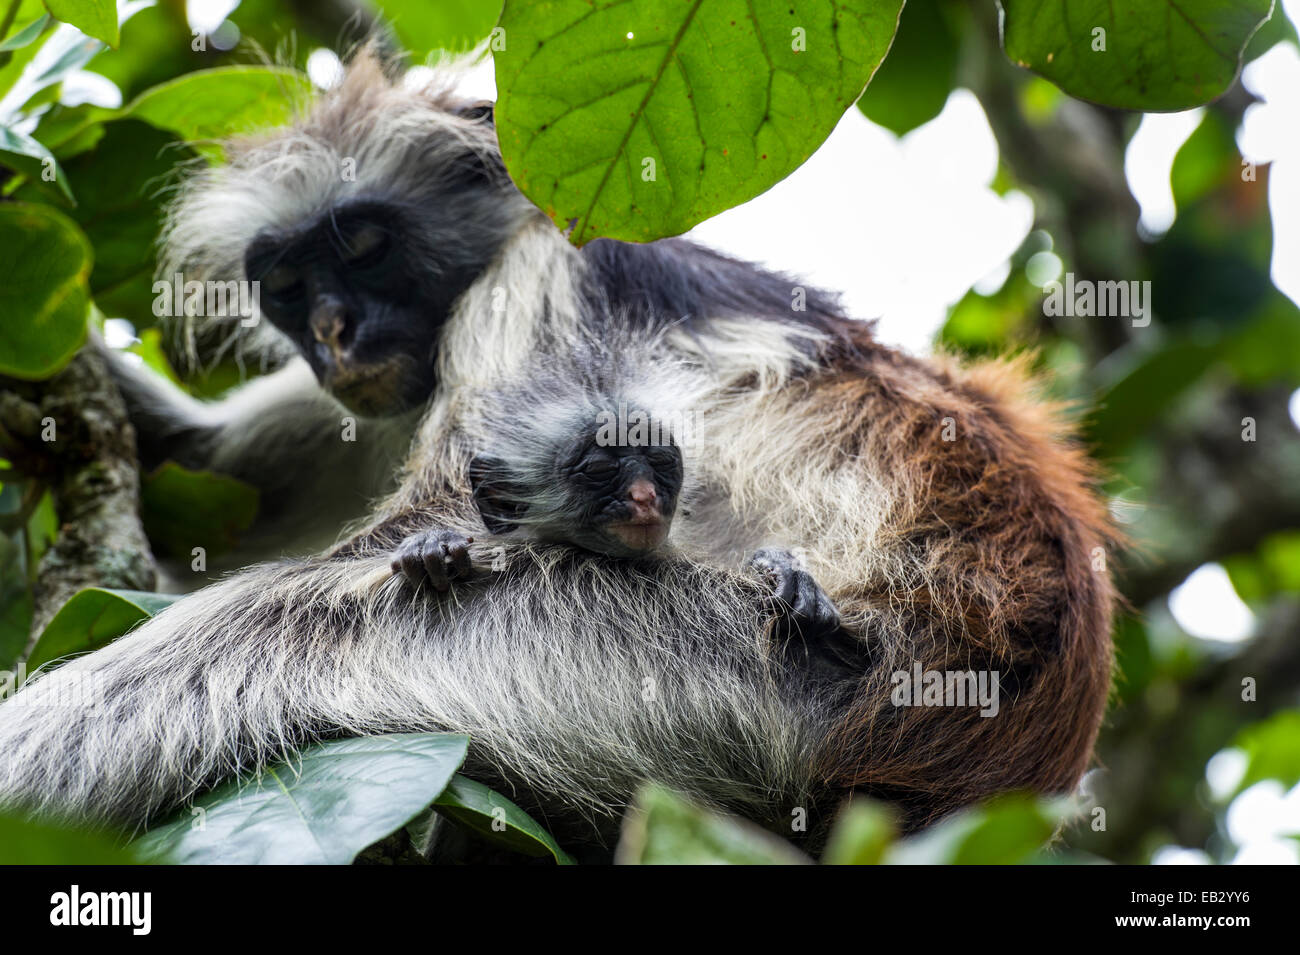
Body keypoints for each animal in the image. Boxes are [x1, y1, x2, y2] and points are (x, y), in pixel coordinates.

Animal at [0, 52, 1118, 852]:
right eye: (285, 281)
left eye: (364, 247)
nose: (331, 331)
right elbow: (207, 470)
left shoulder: (546, 263)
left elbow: (445, 515)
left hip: (748, 660)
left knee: (280, 626)